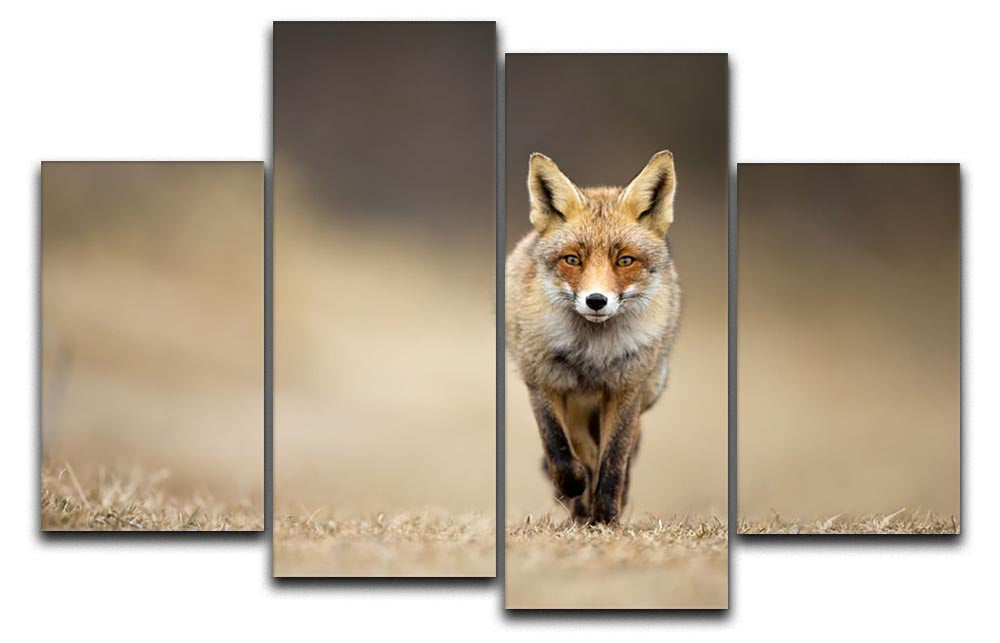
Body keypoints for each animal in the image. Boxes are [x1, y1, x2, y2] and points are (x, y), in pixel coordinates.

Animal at [506, 150, 682, 525]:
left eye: (625, 260)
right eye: (573, 259)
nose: (596, 300)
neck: (592, 352)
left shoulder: (625, 389)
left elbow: (614, 459)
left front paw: (606, 516)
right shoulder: (542, 382)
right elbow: (559, 449)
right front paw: (575, 488)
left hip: (646, 389)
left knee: (623, 449)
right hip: (575, 403)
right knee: (581, 448)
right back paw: (579, 505)